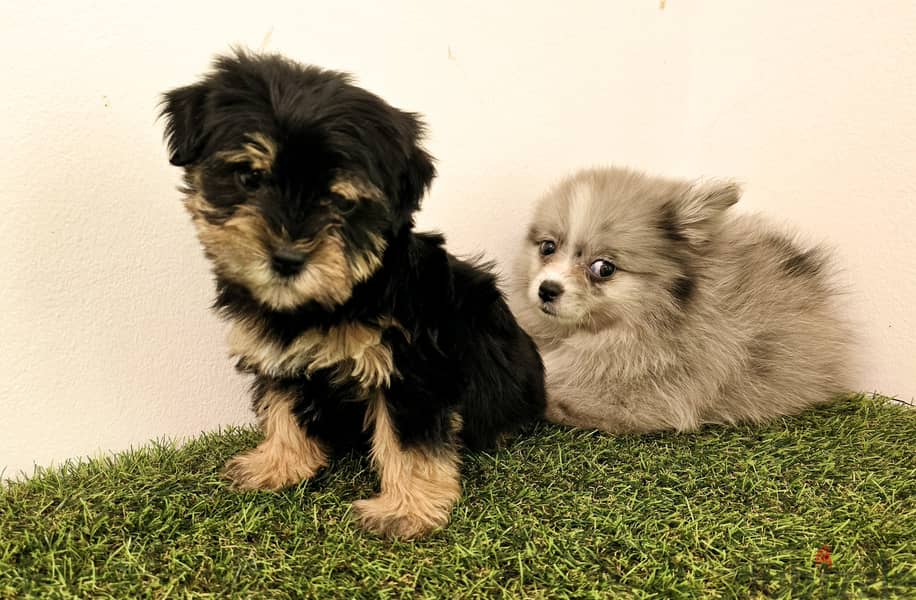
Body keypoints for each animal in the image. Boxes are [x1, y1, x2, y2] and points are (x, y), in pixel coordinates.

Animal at [159, 52, 544, 540]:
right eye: (248, 177)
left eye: (341, 203)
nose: (287, 258)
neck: (326, 303)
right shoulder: (276, 353)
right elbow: (281, 406)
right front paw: (278, 464)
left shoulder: (410, 367)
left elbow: (408, 441)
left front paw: (406, 510)